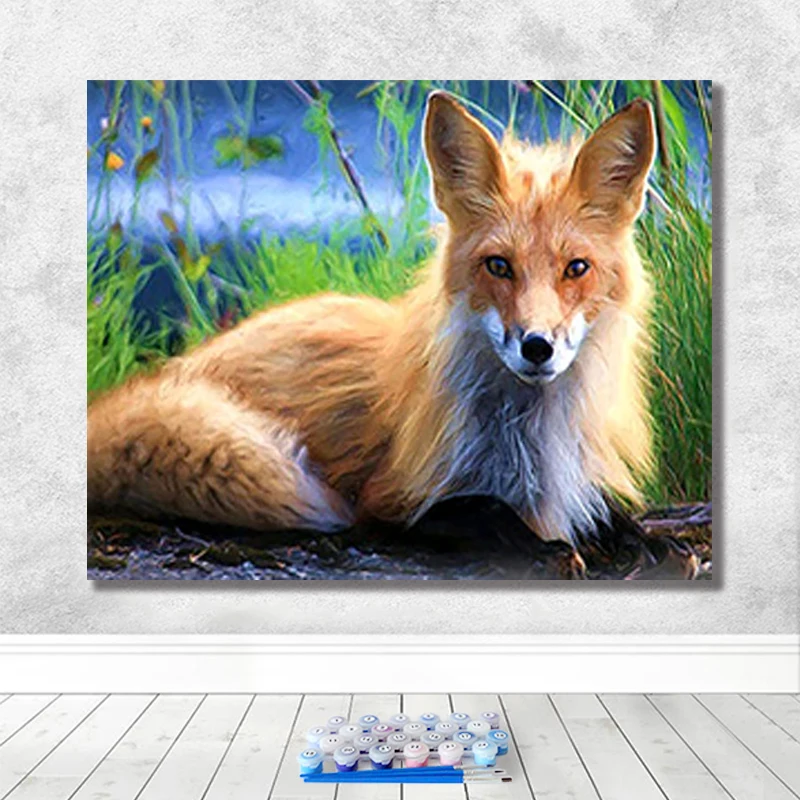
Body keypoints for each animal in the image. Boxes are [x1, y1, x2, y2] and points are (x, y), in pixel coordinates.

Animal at [88, 92, 664, 577]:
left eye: (576, 268)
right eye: (499, 266)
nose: (537, 346)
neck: (529, 442)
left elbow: (613, 515)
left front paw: (641, 541)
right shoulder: (390, 500)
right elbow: (485, 511)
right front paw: (549, 548)